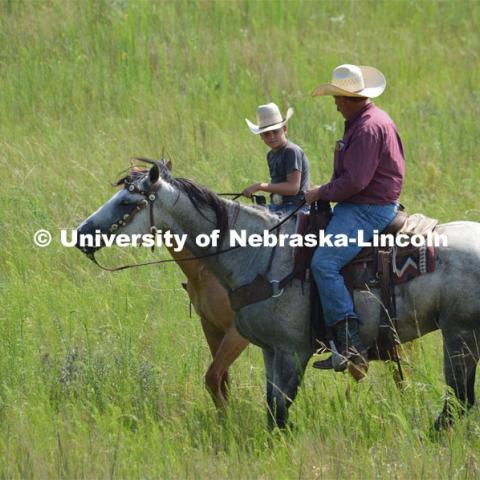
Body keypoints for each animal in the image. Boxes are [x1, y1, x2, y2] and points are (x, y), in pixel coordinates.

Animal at [76, 161, 480, 428]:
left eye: (127, 203)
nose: (81, 234)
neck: (260, 255)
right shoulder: (267, 350)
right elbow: (267, 406)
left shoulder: (290, 350)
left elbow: (279, 410)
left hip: (458, 334)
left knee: (459, 397)